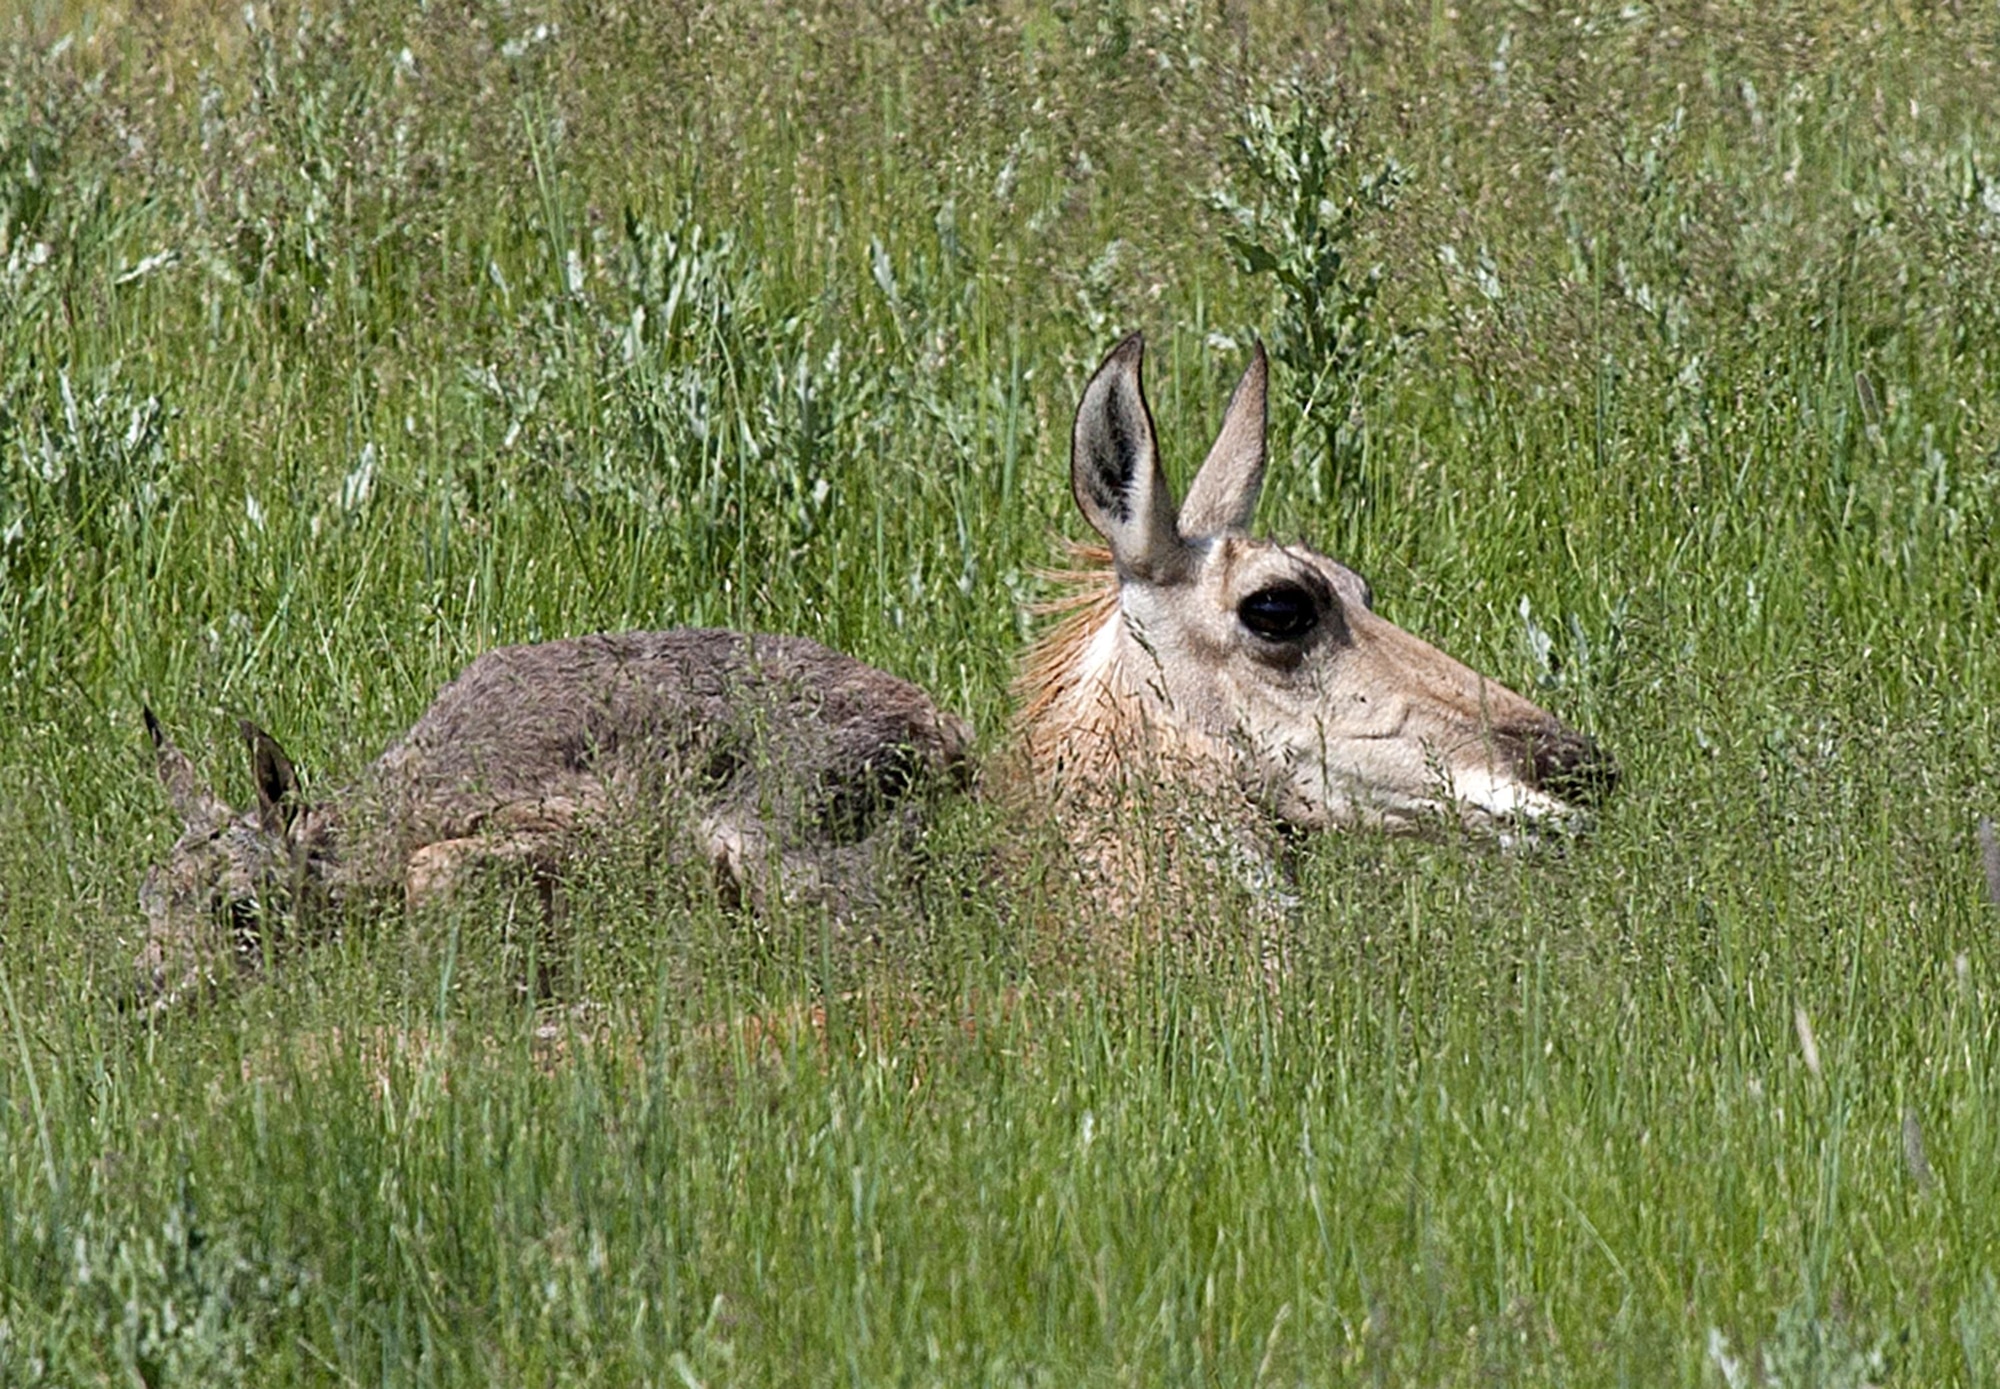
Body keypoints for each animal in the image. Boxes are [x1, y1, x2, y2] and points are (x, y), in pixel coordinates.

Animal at [138, 630, 972, 1008]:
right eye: (146, 896)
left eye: (242, 907)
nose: (143, 990)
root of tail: (949, 732)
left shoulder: (571, 832)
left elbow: (433, 868)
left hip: (777, 858)